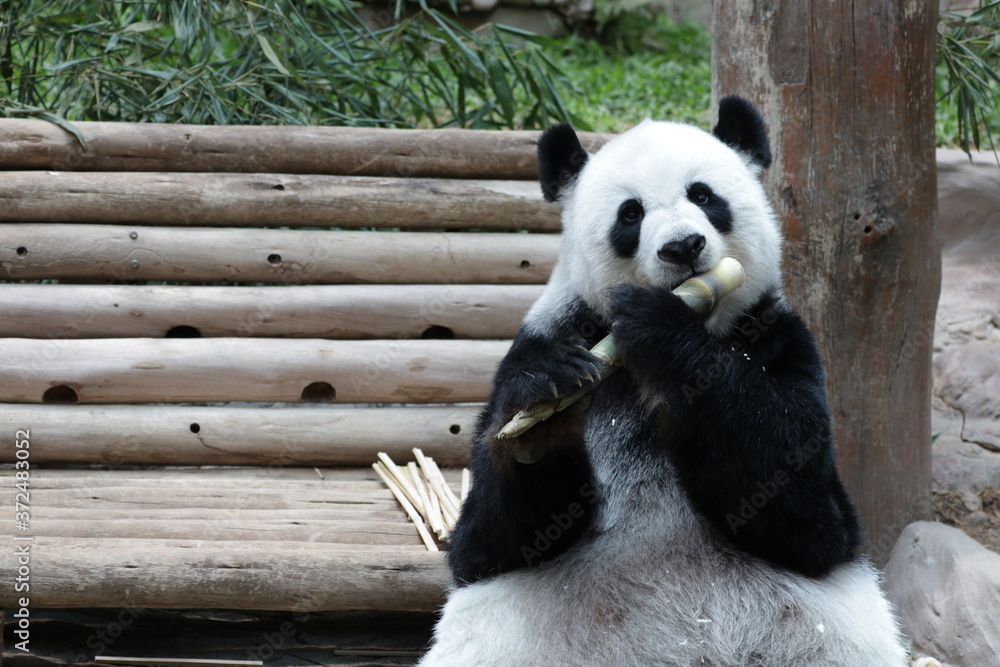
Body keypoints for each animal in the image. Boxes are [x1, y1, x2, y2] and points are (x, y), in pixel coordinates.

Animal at [419, 96, 907, 666]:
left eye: (703, 195)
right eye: (630, 214)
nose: (684, 246)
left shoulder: (780, 339)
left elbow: (808, 511)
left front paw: (660, 327)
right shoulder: (546, 338)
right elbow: (486, 541)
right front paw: (542, 412)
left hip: (831, 630)